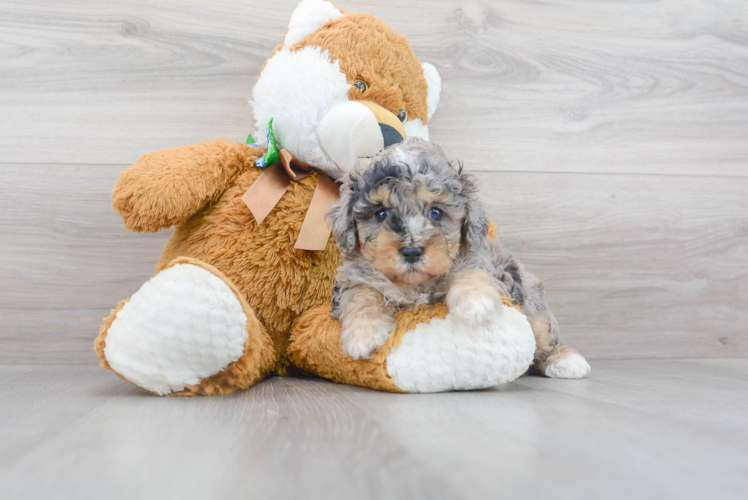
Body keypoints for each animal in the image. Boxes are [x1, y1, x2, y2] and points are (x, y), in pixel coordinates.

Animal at [328, 137, 592, 378]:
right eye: (381, 214)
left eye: (436, 212)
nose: (412, 251)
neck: (414, 285)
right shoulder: (353, 278)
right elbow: (362, 294)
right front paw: (362, 334)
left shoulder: (481, 262)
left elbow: (473, 274)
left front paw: (475, 303)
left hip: (532, 304)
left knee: (544, 337)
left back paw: (566, 361)